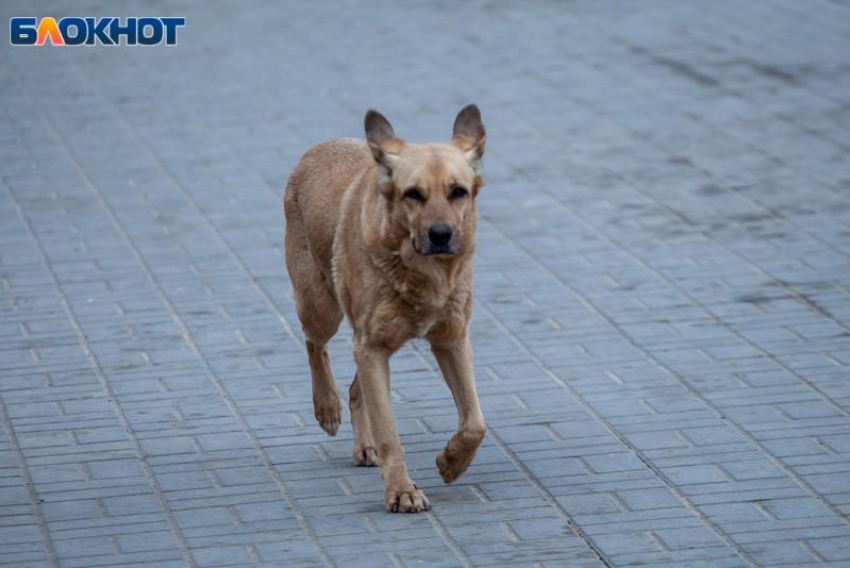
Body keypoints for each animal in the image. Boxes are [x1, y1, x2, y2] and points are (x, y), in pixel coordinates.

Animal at [284, 104, 486, 512]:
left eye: (458, 192)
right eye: (413, 194)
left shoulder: (451, 340)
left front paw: (452, 462)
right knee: (315, 345)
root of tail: (319, 147)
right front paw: (402, 492)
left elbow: (475, 422)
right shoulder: (372, 346)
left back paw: (364, 445)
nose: (441, 235)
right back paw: (326, 407)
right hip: (321, 306)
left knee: (355, 389)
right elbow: (389, 431)